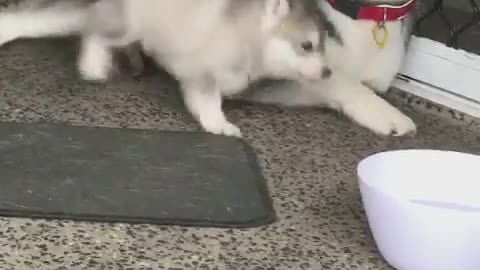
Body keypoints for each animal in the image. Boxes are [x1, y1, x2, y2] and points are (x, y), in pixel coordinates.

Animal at [0, 0, 330, 136]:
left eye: (323, 44)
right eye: (306, 46)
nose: (328, 73)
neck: (249, 35)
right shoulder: (201, 72)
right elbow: (208, 103)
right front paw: (219, 124)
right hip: (132, 23)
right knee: (95, 31)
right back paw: (94, 64)